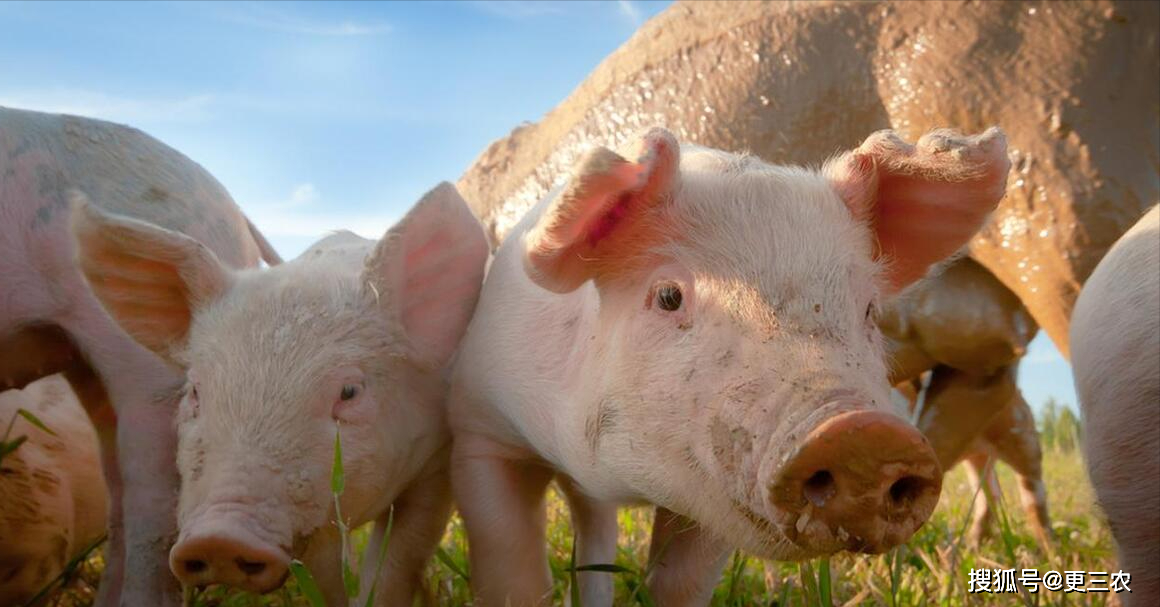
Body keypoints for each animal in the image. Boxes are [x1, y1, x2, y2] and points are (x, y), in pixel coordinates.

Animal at [71, 183, 489, 603]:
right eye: (195, 392)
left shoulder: (436, 460)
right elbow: (329, 577)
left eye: (349, 391)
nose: (219, 538)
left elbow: (396, 563)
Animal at [447, 125, 1011, 603]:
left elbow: (679, 583)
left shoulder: (712, 492)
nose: (865, 436)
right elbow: (514, 573)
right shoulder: (480, 427)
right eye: (669, 296)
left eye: (869, 310)